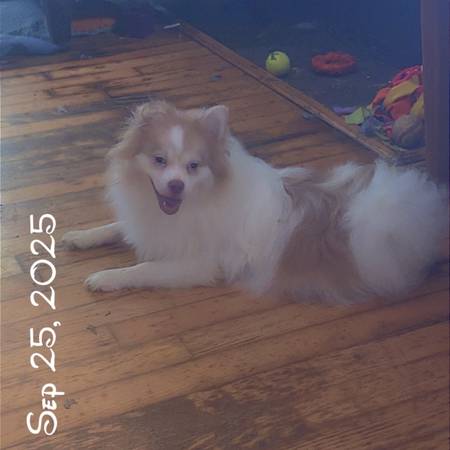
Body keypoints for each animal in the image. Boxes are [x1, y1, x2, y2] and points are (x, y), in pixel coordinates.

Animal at [63, 100, 447, 303]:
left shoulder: (199, 263)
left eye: (193, 166)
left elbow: (144, 269)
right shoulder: (144, 223)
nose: (175, 185)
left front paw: (106, 277)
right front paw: (79, 236)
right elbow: (114, 226)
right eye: (159, 160)